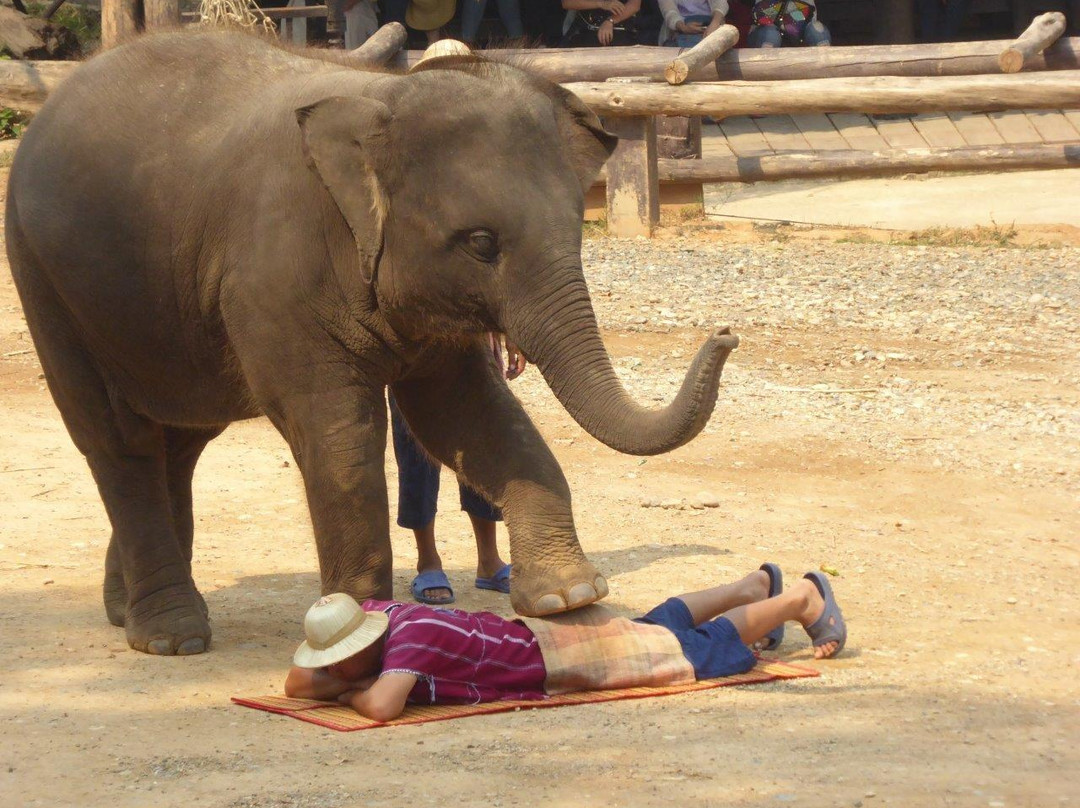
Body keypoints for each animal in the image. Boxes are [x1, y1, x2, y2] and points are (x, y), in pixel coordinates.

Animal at [6, 29, 734, 656]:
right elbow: (339, 432)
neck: (381, 96)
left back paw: (124, 609)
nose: (725, 332)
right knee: (118, 440)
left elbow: (469, 413)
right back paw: (171, 636)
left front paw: (567, 597)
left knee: (179, 439)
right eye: (481, 243)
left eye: (578, 229)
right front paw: (365, 623)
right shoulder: (276, 274)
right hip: (44, 280)